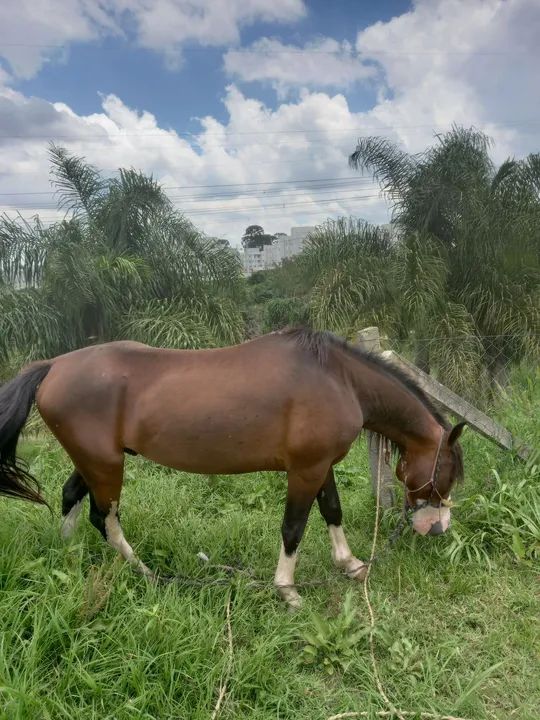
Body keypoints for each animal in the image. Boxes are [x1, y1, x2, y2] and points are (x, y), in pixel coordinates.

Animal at [0, 328, 464, 608]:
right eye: (447, 473)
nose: (438, 529)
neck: (338, 379)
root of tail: (53, 366)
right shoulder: (305, 470)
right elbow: (293, 528)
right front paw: (288, 591)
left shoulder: (321, 466)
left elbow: (333, 511)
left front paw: (349, 564)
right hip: (107, 467)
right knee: (105, 519)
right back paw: (148, 574)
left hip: (95, 461)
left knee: (71, 498)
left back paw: (67, 557)